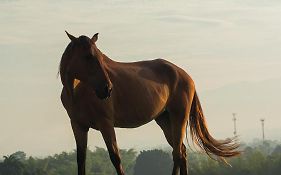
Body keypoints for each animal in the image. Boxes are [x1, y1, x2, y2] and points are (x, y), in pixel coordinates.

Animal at [59, 31, 238, 175]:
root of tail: (185, 75)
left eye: (101, 57)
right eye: (88, 56)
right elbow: (81, 160)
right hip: (164, 119)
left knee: (177, 153)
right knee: (181, 151)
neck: (79, 91)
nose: (107, 89)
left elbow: (115, 157)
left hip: (179, 117)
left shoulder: (106, 123)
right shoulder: (78, 126)